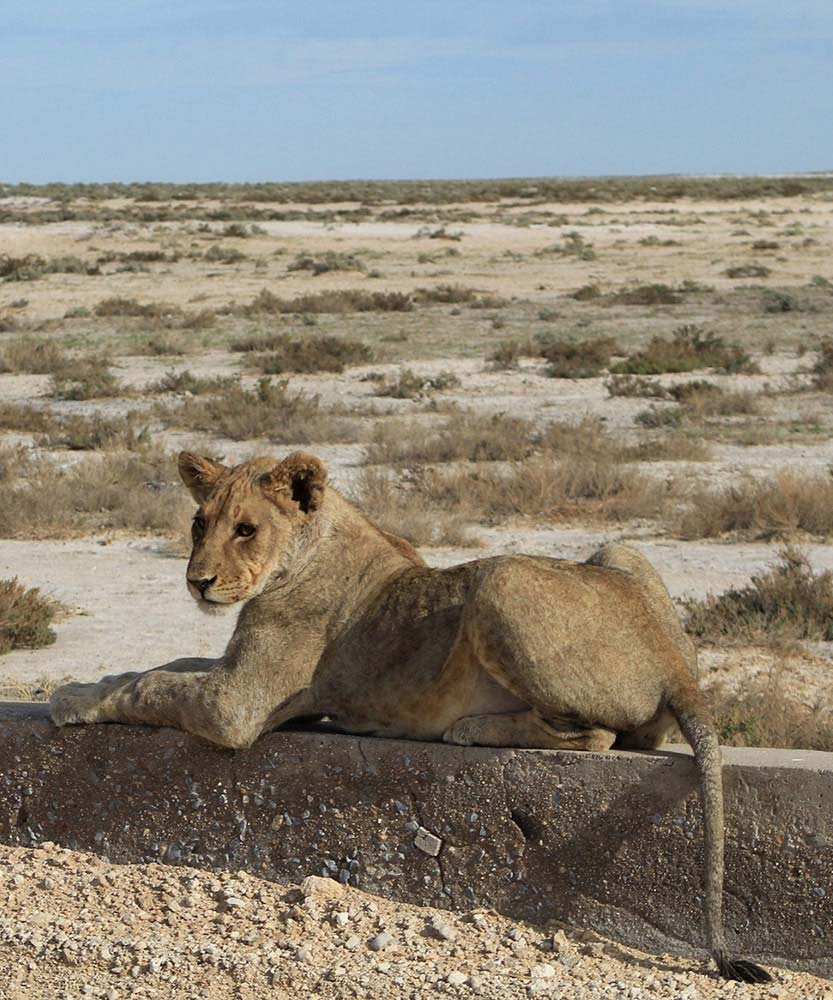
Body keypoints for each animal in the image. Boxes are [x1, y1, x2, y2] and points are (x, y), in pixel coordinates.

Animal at [50, 450, 768, 980]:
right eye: (200, 524)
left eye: (245, 529)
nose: (196, 581)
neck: (307, 549)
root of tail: (674, 662)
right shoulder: (240, 681)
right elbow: (162, 665)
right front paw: (88, 680)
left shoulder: (238, 705)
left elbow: (153, 686)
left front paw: (70, 700)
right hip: (618, 551)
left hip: (501, 579)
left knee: (597, 733)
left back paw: (469, 729)